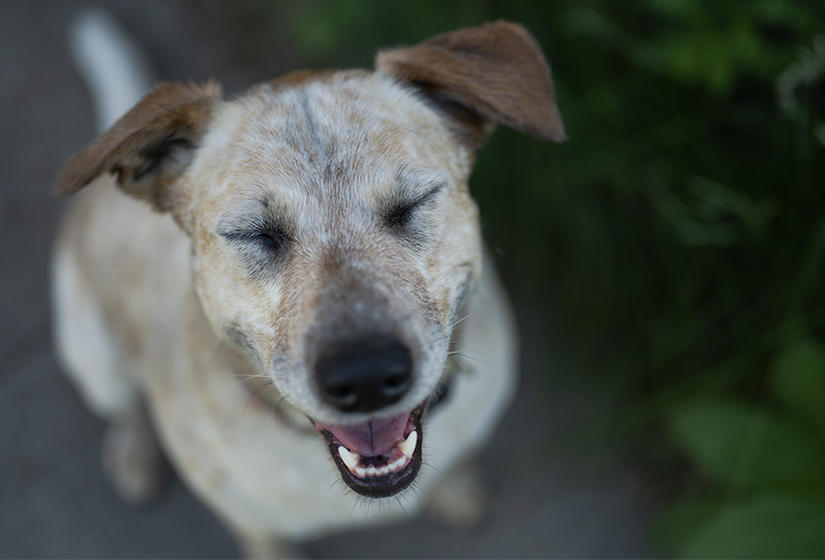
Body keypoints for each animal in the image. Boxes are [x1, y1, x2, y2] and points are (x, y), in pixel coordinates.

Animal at [51, 12, 564, 556]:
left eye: (413, 204)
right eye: (255, 233)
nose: (366, 377)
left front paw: (457, 489)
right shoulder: (252, 525)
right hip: (92, 357)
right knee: (125, 406)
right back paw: (134, 455)